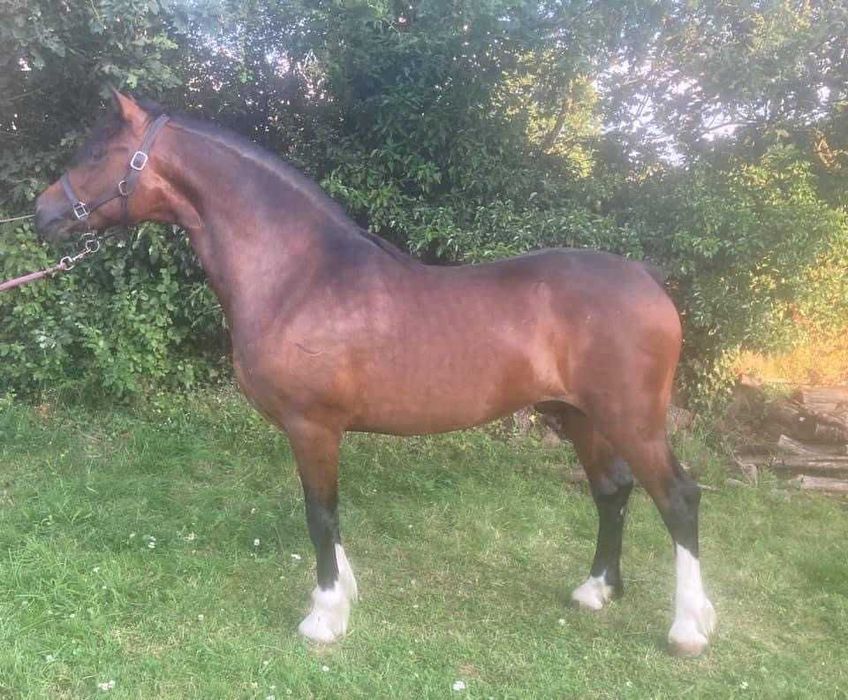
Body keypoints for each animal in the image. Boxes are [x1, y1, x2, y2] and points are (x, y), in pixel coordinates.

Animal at [34, 90, 716, 657]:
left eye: (97, 153)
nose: (41, 213)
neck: (298, 277)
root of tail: (648, 281)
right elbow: (329, 517)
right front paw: (345, 593)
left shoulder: (311, 426)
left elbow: (319, 513)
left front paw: (324, 617)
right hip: (578, 416)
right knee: (613, 491)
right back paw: (597, 590)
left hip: (631, 418)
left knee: (678, 498)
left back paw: (688, 627)